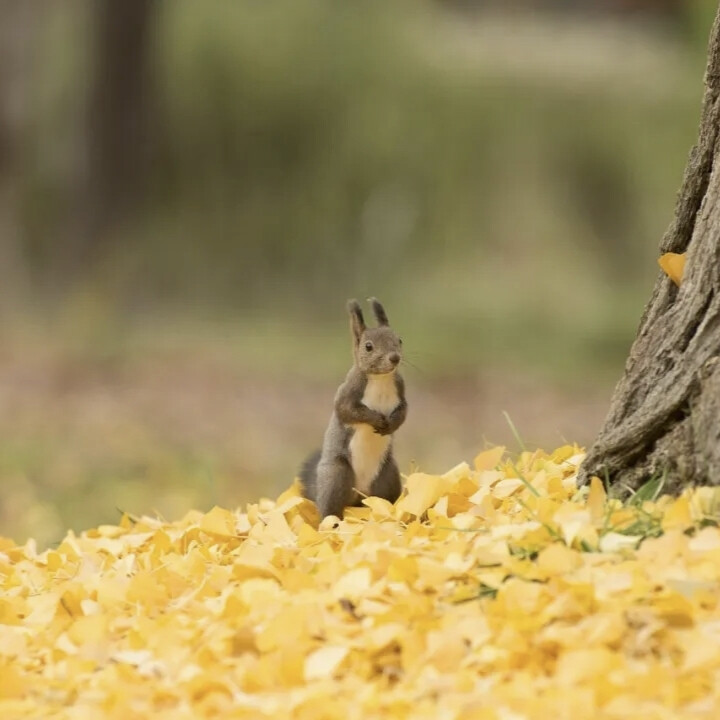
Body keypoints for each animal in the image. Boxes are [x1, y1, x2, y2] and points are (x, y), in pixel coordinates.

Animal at [298, 298, 408, 516]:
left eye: (399, 340)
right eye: (368, 347)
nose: (394, 358)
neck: (380, 379)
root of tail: (359, 495)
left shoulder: (401, 391)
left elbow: (404, 411)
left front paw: (392, 424)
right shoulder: (347, 393)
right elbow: (347, 411)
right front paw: (376, 419)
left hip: (388, 476)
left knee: (385, 500)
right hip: (337, 476)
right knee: (329, 509)